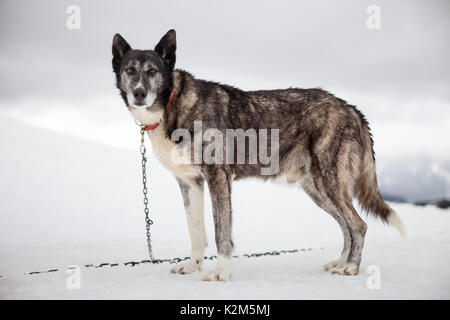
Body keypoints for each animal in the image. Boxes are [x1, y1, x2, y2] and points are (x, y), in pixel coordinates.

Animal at [111, 29, 404, 280]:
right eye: (129, 70)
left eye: (152, 71)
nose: (139, 93)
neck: (173, 104)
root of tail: (351, 108)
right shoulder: (190, 183)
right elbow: (196, 232)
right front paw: (193, 266)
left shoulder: (218, 177)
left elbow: (221, 234)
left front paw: (221, 273)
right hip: (318, 190)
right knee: (346, 226)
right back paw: (341, 261)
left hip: (329, 184)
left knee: (358, 225)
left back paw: (350, 267)